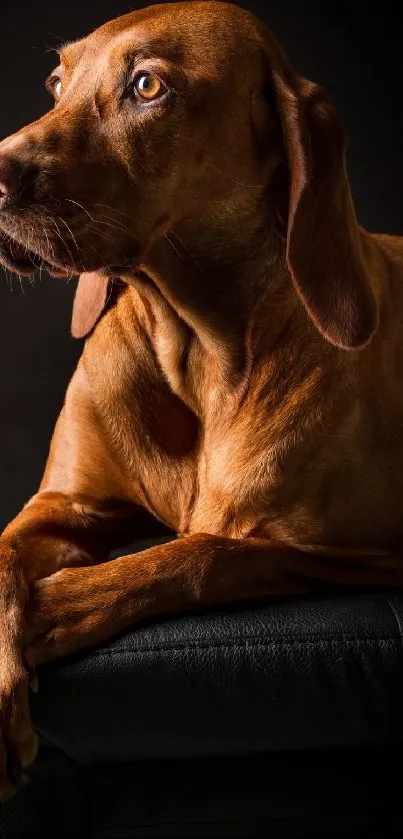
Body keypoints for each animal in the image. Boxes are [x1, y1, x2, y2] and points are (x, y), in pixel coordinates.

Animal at [0, 0, 403, 800]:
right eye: (56, 83)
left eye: (147, 86)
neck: (196, 347)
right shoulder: (62, 504)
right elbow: (1, 557)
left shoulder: (356, 551)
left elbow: (199, 554)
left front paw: (55, 607)